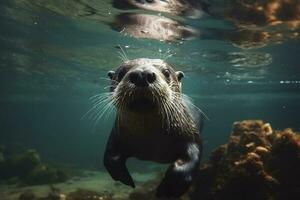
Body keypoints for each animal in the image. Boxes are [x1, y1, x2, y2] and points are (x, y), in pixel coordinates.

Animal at [103, 57, 204, 197]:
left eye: (166, 73)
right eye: (121, 72)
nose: (142, 75)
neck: (151, 141)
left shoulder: (190, 133)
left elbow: (190, 160)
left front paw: (168, 190)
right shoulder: (117, 134)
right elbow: (110, 158)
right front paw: (127, 181)